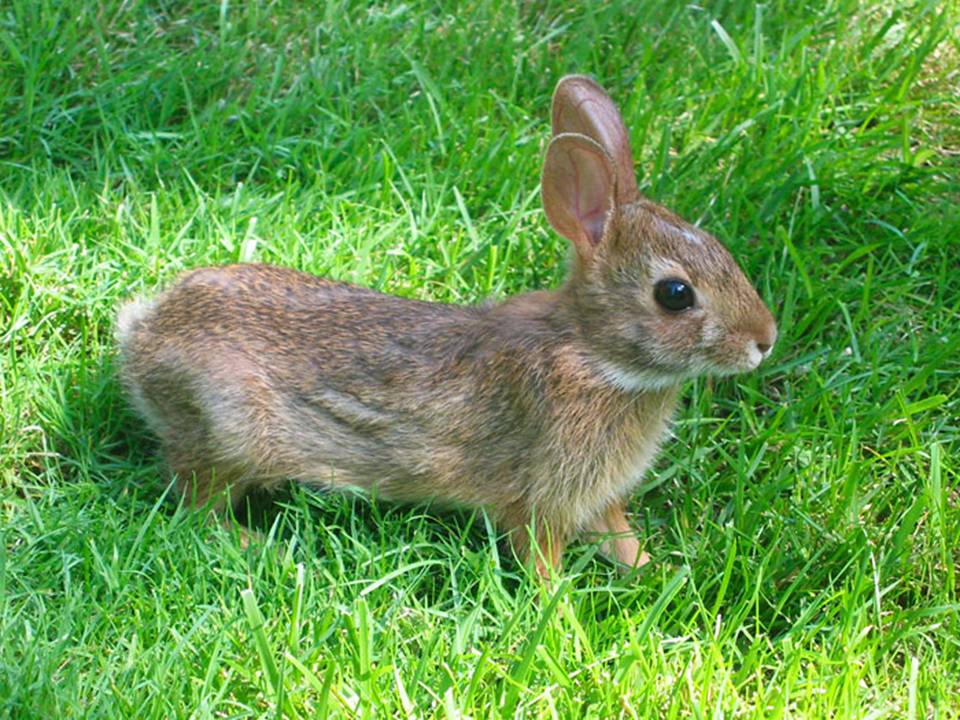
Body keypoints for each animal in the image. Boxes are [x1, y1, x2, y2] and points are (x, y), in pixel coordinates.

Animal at [116, 75, 777, 579]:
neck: (594, 352)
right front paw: (559, 612)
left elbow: (618, 533)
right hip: (231, 430)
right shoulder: (541, 495)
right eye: (675, 295)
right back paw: (263, 547)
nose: (763, 341)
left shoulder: (599, 495)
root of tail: (142, 333)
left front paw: (652, 569)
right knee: (195, 502)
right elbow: (539, 554)